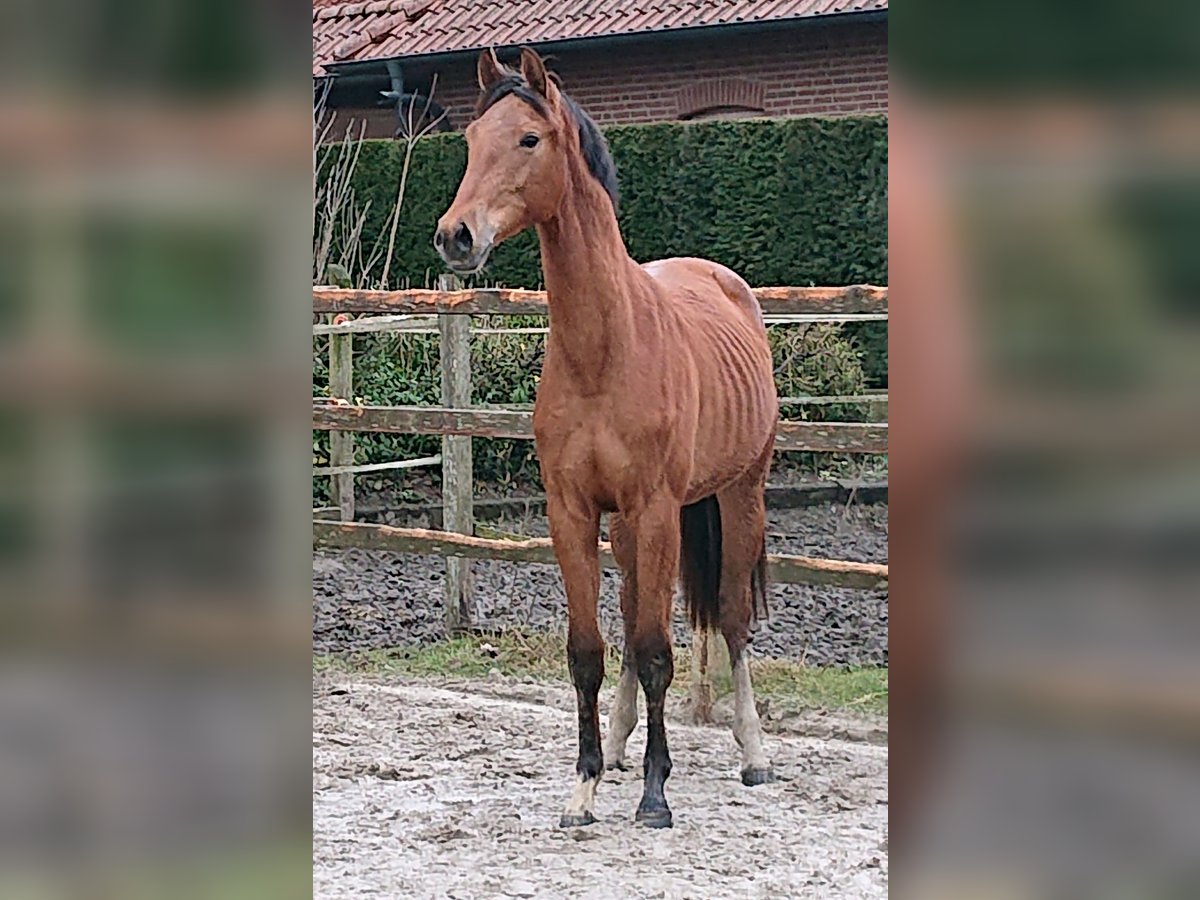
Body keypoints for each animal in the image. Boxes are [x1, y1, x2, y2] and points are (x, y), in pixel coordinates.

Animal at [434, 45, 777, 830]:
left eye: (529, 139)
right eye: (471, 140)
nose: (455, 236)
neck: (604, 350)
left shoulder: (656, 510)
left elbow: (656, 650)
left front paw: (656, 796)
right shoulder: (573, 511)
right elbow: (589, 649)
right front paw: (585, 786)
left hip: (739, 496)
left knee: (733, 621)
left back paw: (753, 755)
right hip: (626, 527)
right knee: (628, 618)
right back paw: (619, 746)